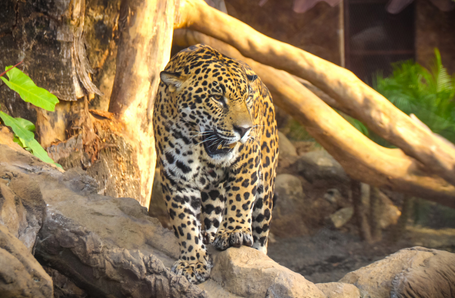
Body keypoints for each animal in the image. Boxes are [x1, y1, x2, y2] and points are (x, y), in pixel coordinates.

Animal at [155, 43, 280, 282]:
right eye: (217, 97)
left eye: (247, 98)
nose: (245, 129)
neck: (197, 146)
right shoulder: (175, 178)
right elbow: (184, 222)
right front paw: (193, 262)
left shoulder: (247, 160)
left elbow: (241, 196)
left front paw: (234, 232)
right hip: (214, 193)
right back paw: (211, 237)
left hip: (265, 192)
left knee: (261, 233)